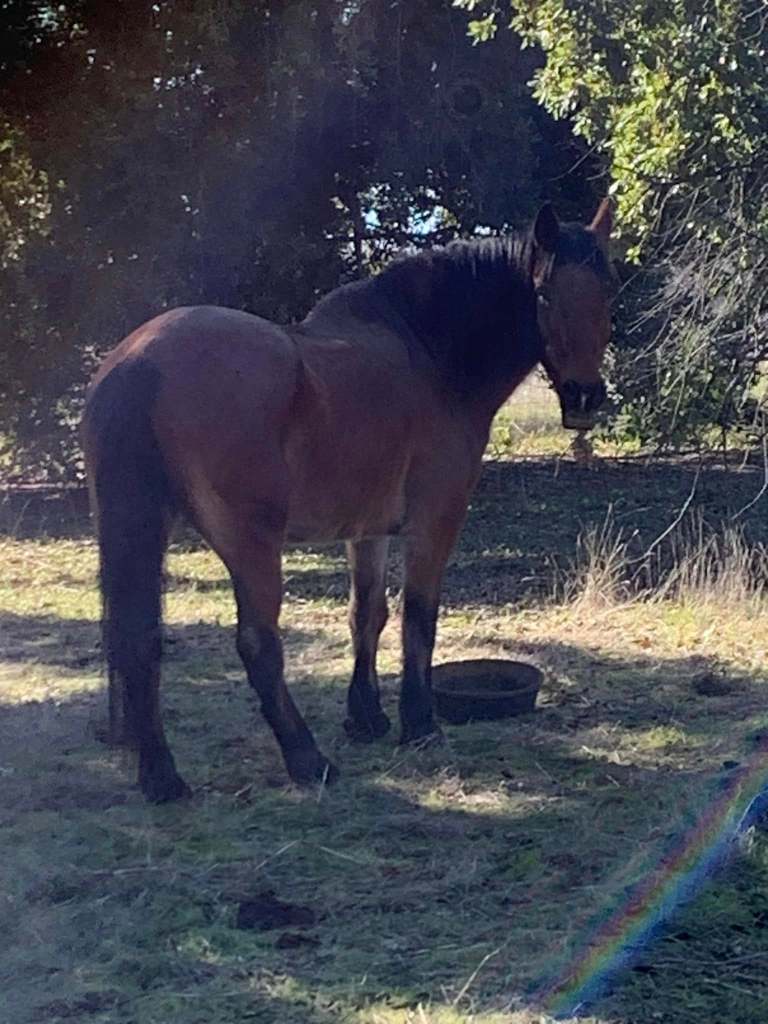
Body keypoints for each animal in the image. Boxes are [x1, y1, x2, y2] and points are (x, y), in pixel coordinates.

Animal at [82, 200, 615, 803]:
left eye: (607, 288)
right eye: (544, 293)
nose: (584, 397)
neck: (429, 354)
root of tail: (139, 362)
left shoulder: (368, 529)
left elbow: (368, 614)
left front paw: (367, 717)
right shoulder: (435, 518)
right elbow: (418, 616)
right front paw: (418, 723)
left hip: (137, 530)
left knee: (135, 639)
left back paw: (161, 776)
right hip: (251, 544)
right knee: (258, 645)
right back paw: (306, 759)